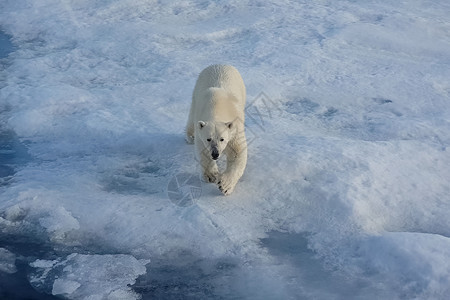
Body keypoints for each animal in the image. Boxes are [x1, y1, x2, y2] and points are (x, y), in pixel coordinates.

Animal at [186, 64, 248, 196]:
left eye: (222, 139)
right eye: (208, 139)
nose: (215, 153)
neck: (217, 107)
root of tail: (220, 64)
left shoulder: (234, 130)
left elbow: (237, 152)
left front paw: (224, 185)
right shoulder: (201, 130)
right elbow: (203, 151)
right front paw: (211, 176)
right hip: (196, 90)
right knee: (191, 117)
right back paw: (189, 136)